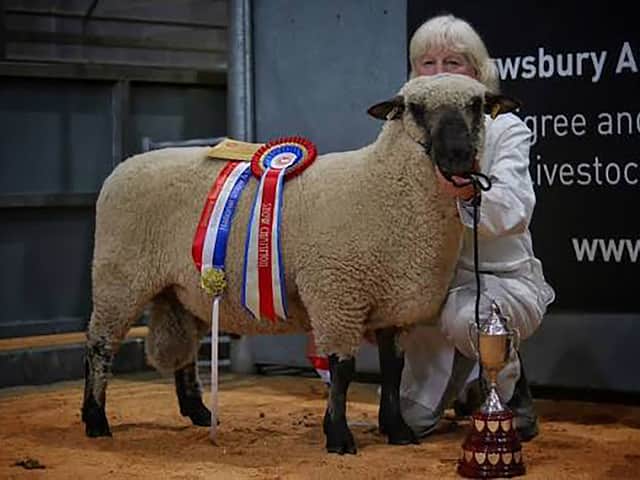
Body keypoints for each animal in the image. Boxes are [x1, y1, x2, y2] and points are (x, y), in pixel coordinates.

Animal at [82, 73, 519, 454]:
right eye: (414, 107)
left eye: (477, 105)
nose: (458, 156)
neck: (381, 183)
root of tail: (126, 165)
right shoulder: (337, 296)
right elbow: (341, 370)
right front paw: (339, 437)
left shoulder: (392, 308)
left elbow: (393, 370)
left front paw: (396, 430)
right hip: (118, 276)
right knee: (99, 346)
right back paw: (95, 419)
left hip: (185, 289)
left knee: (185, 349)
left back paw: (200, 413)